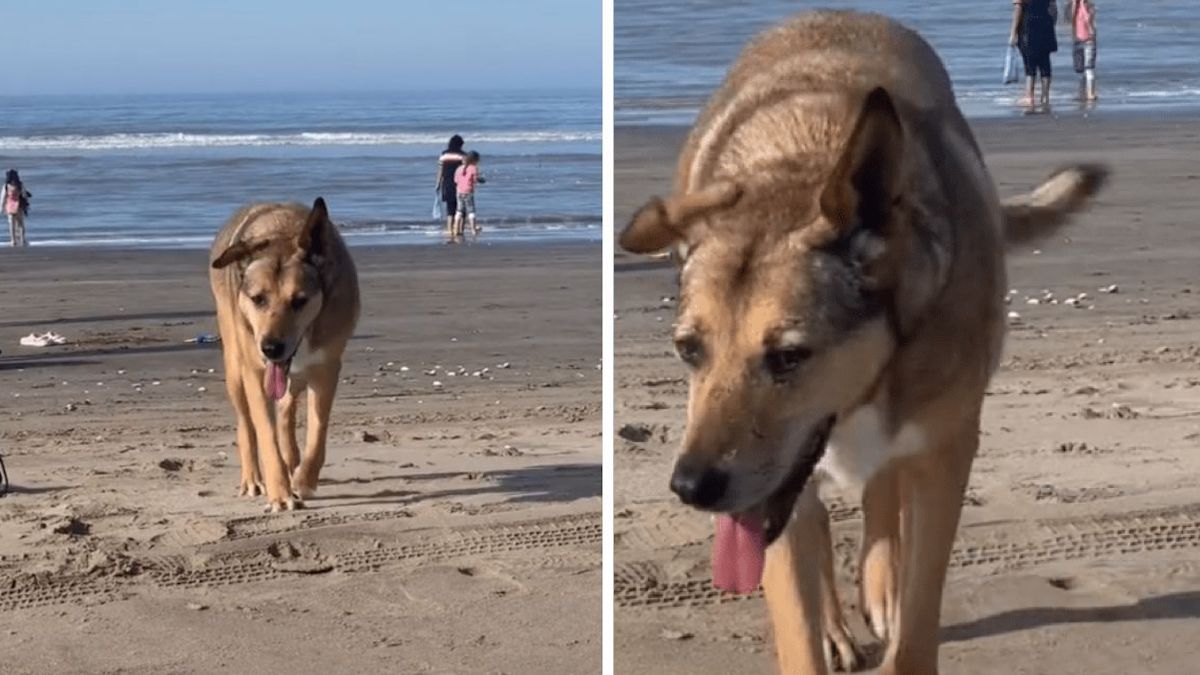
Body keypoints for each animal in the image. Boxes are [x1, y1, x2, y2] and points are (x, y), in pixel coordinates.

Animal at [208, 196, 357, 511]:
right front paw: (280, 493)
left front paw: (304, 480)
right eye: (257, 299)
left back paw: (293, 460)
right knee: (246, 423)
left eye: (300, 300)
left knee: (287, 409)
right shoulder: (256, 371)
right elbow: (265, 432)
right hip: (234, 366)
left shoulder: (326, 366)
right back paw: (253, 478)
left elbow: (318, 430)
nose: (271, 348)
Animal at [619, 10, 1104, 672]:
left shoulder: (943, 453)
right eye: (689, 350)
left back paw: (880, 582)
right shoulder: (774, 496)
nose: (691, 488)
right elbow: (798, 618)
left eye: (789, 356)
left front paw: (894, 601)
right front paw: (820, 631)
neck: (804, 161)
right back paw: (835, 621)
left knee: (882, 494)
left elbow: (916, 617)